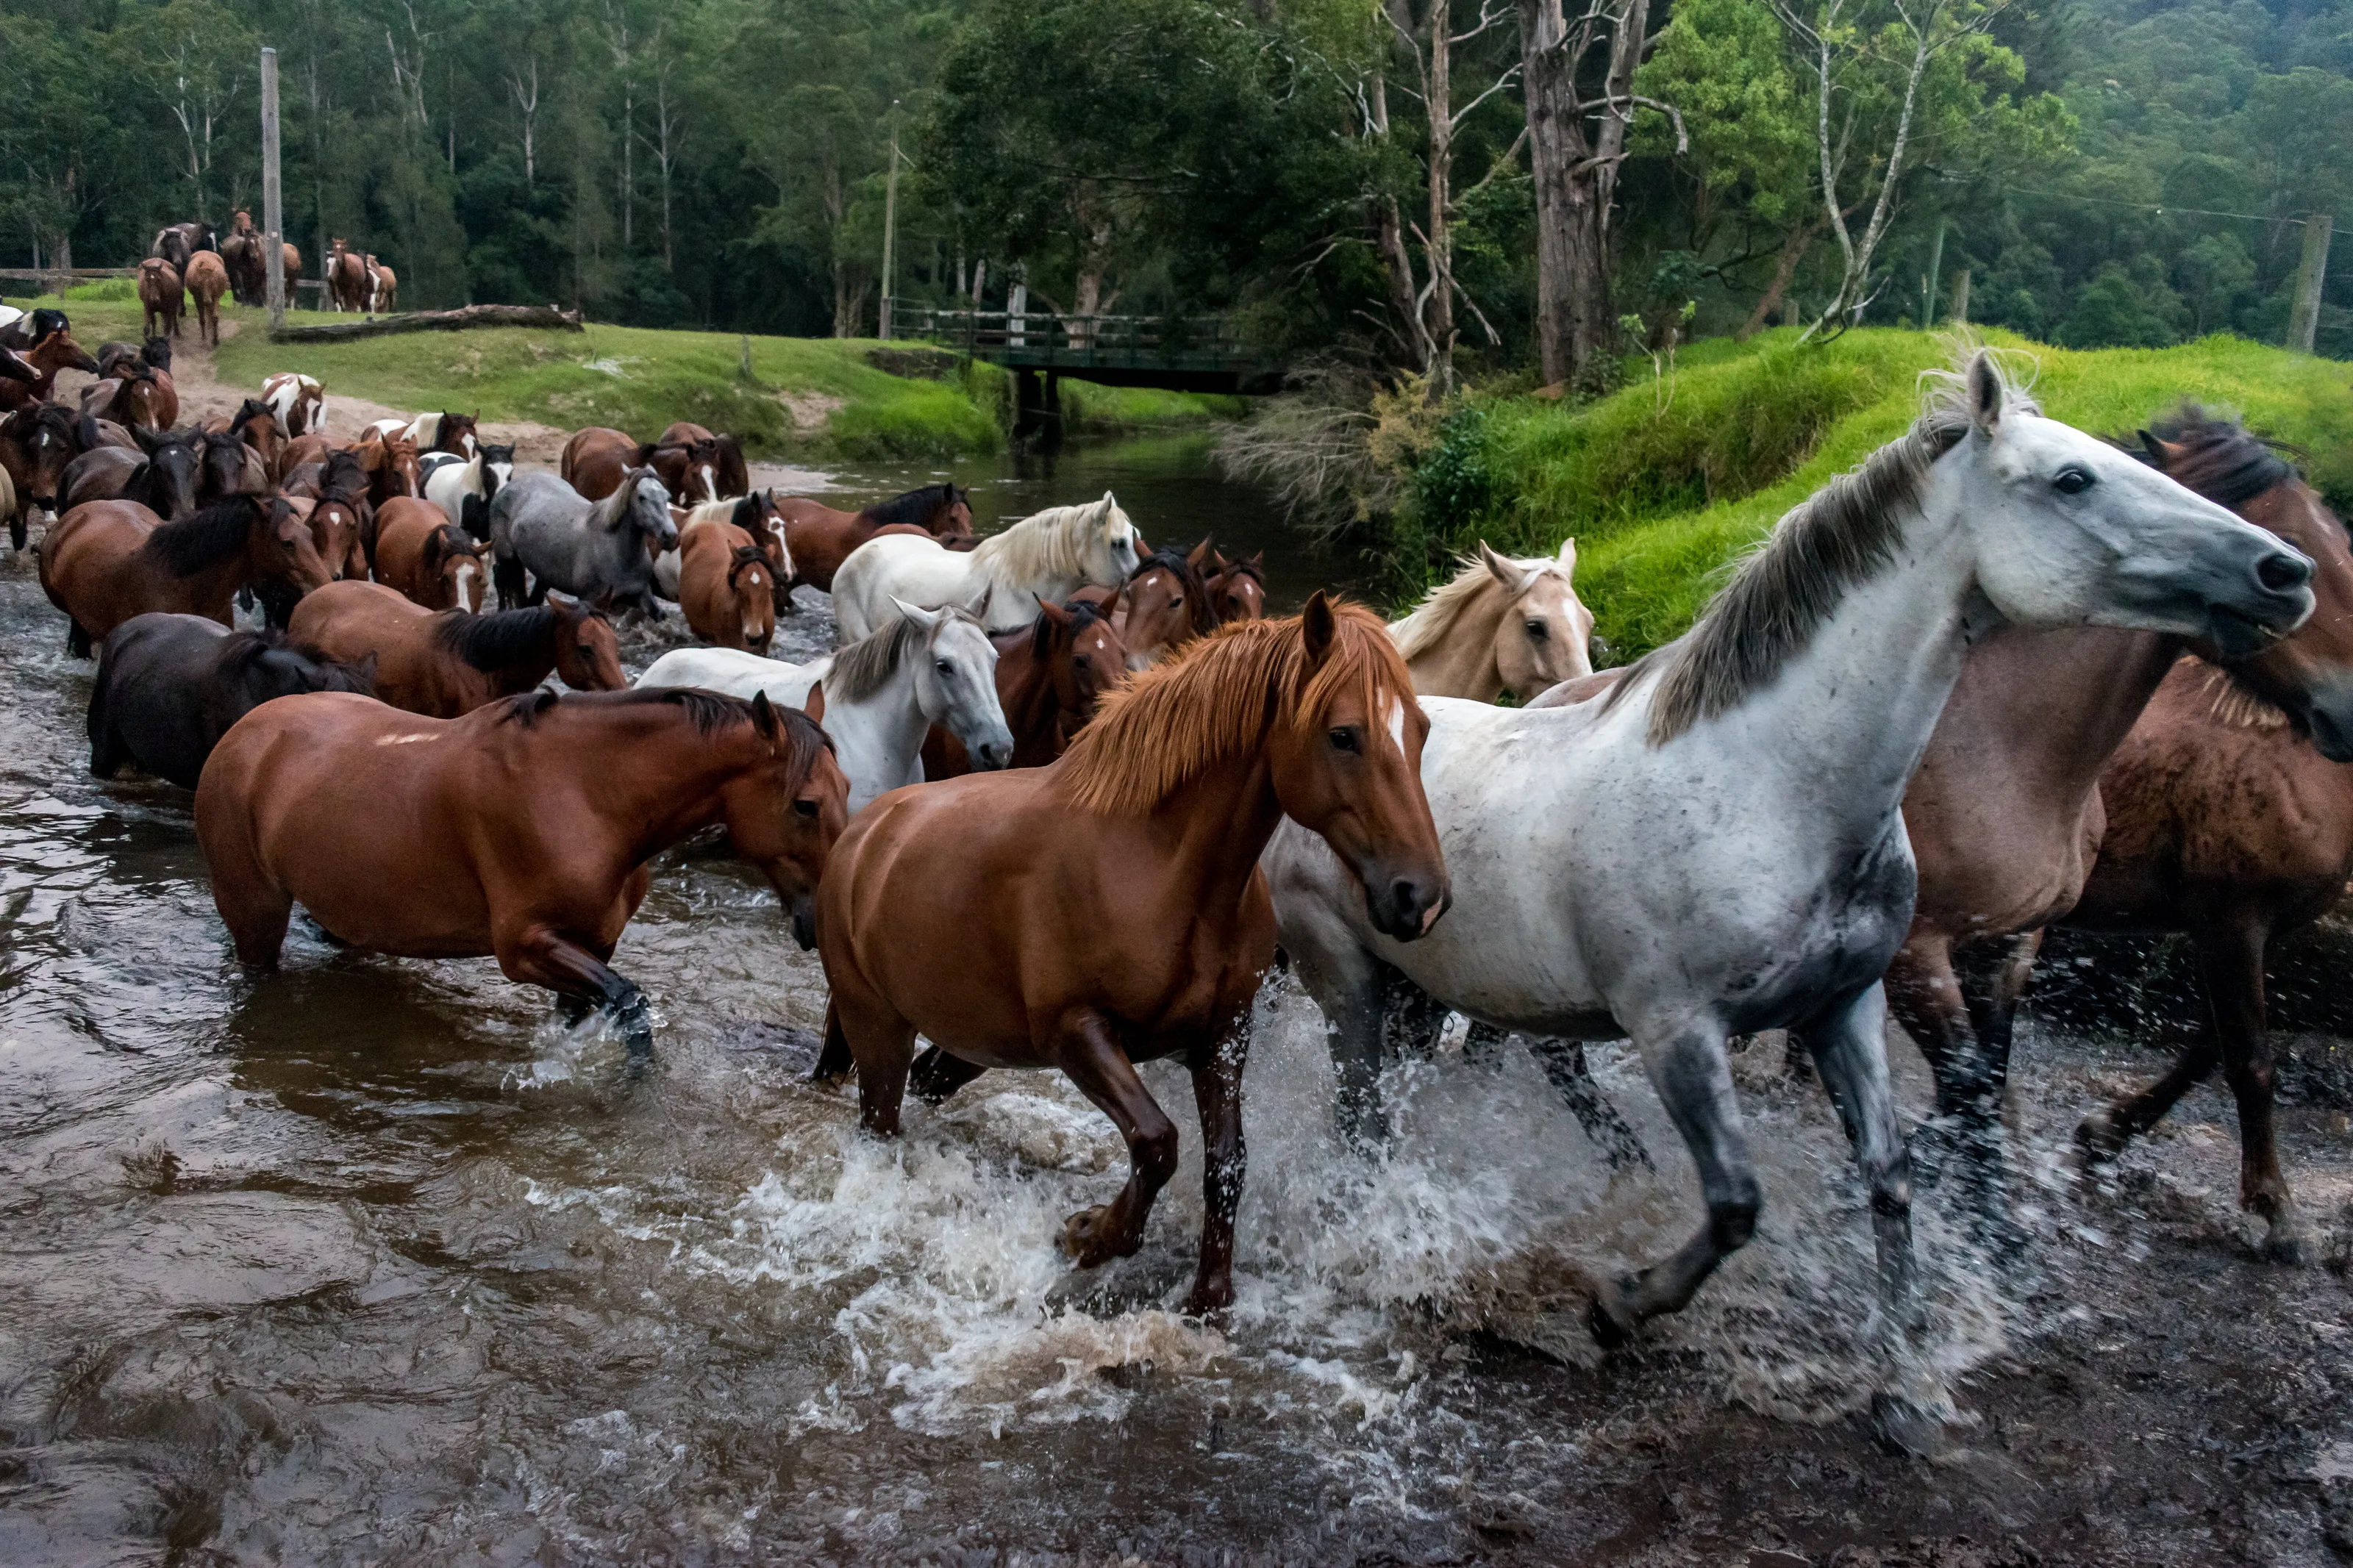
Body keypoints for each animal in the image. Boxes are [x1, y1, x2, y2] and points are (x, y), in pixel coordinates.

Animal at [184, 251, 231, 347]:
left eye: (212, 282)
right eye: (199, 283)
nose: (207, 300)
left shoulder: (215, 296)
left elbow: (215, 317)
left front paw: (216, 340)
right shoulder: (197, 298)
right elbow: (202, 319)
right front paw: (204, 338)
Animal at [195, 687, 849, 1058]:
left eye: (847, 787)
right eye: (805, 804)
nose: (823, 916)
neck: (582, 789)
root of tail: (243, 733)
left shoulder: (593, 943)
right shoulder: (525, 946)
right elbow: (632, 1006)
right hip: (254, 918)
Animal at [489, 469, 676, 615]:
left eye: (667, 497)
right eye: (642, 497)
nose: (670, 535)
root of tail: (505, 488)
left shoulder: (642, 595)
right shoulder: (592, 601)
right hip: (506, 557)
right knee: (500, 578)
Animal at [815, 596, 1446, 1316]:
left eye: (1421, 729)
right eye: (1343, 735)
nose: (1420, 896)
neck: (1155, 865)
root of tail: (865, 834)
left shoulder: (1223, 1034)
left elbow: (1226, 1161)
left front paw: (1207, 1294)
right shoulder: (1079, 1034)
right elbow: (1157, 1142)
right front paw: (1091, 1234)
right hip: (878, 1031)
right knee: (883, 1119)